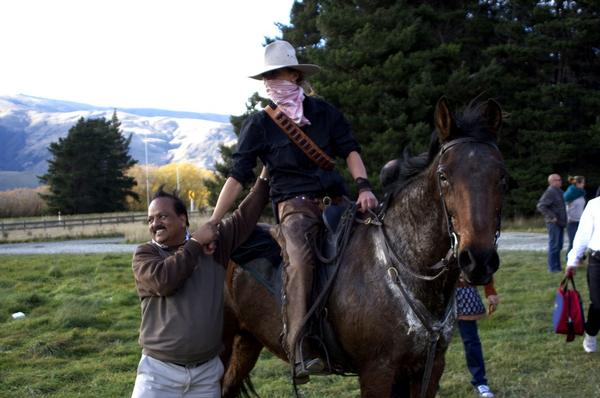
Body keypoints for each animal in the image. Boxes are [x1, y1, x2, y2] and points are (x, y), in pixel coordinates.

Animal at [219, 97, 506, 398]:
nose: (478, 260)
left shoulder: (429, 367)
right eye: (443, 176)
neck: (403, 267)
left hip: (247, 343)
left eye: (501, 175)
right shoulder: (377, 371)